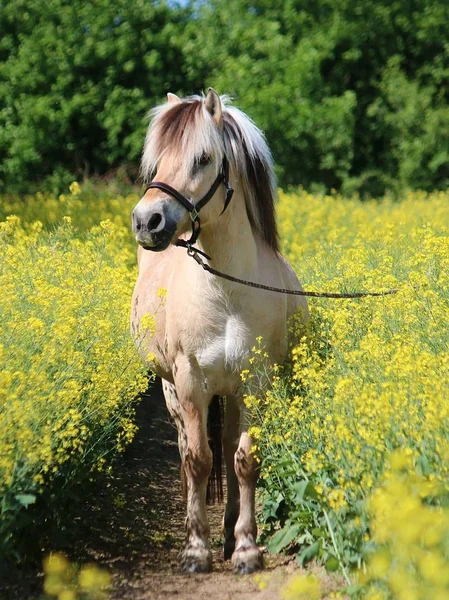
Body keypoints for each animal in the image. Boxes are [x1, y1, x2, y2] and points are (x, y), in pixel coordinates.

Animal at [130, 88, 308, 572]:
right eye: (158, 160)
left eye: (203, 158)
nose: (146, 221)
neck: (227, 292)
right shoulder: (190, 382)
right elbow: (198, 460)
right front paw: (196, 549)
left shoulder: (254, 382)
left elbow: (243, 459)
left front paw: (246, 547)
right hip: (172, 390)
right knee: (187, 449)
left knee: (228, 448)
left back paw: (229, 533)